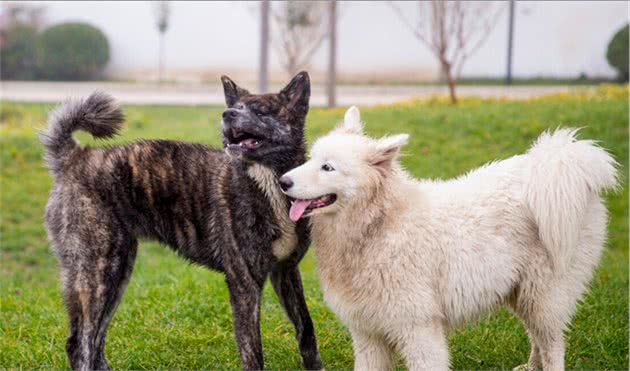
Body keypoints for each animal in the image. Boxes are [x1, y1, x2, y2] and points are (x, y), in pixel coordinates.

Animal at [40, 72, 320, 370]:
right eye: (237, 106)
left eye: (262, 110)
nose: (227, 113)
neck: (266, 184)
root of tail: (75, 158)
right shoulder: (244, 283)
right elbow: (253, 351)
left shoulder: (286, 271)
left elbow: (306, 329)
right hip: (97, 274)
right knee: (80, 343)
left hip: (118, 272)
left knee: (95, 341)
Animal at [280, 107, 616, 371]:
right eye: (311, 159)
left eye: (328, 167)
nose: (283, 181)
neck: (377, 223)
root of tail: (563, 163)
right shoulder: (368, 334)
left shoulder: (418, 328)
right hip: (522, 293)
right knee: (537, 337)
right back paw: (530, 366)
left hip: (544, 294)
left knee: (553, 343)